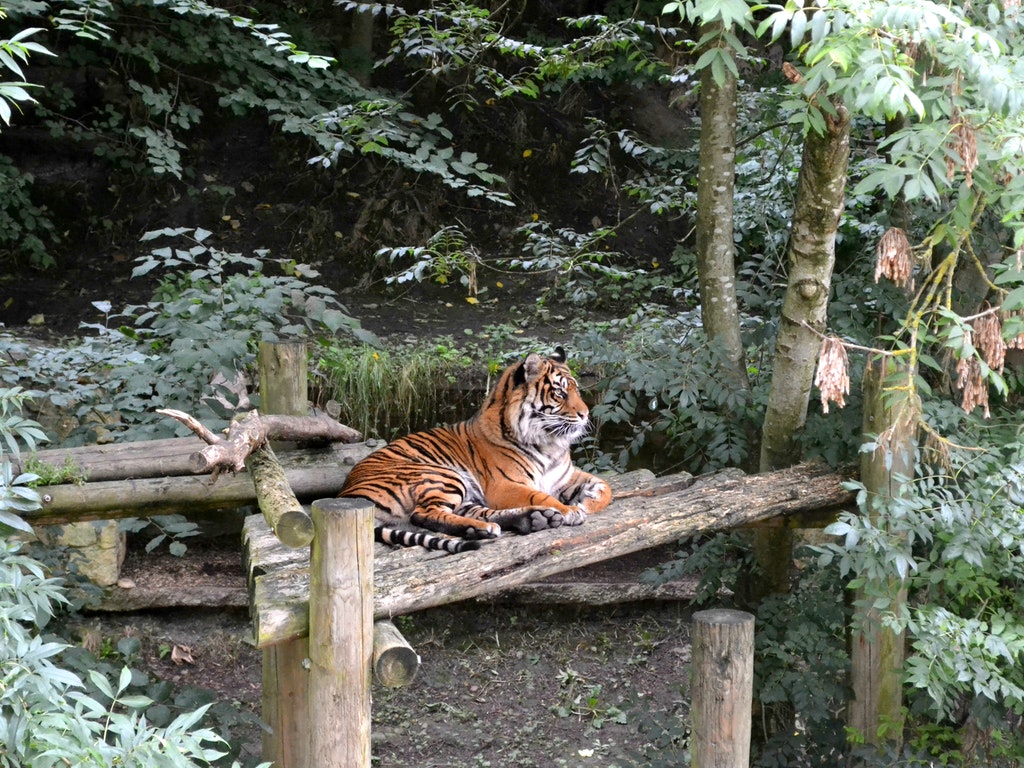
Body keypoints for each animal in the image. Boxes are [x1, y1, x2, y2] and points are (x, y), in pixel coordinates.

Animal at [339, 348, 610, 552]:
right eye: (560, 393)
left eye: (577, 390)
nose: (586, 414)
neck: (549, 443)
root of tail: (347, 493)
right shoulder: (504, 485)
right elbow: (542, 495)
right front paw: (570, 510)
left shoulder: (564, 476)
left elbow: (606, 487)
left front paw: (588, 502)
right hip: (441, 475)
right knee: (423, 514)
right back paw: (488, 527)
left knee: (477, 513)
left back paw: (528, 520)